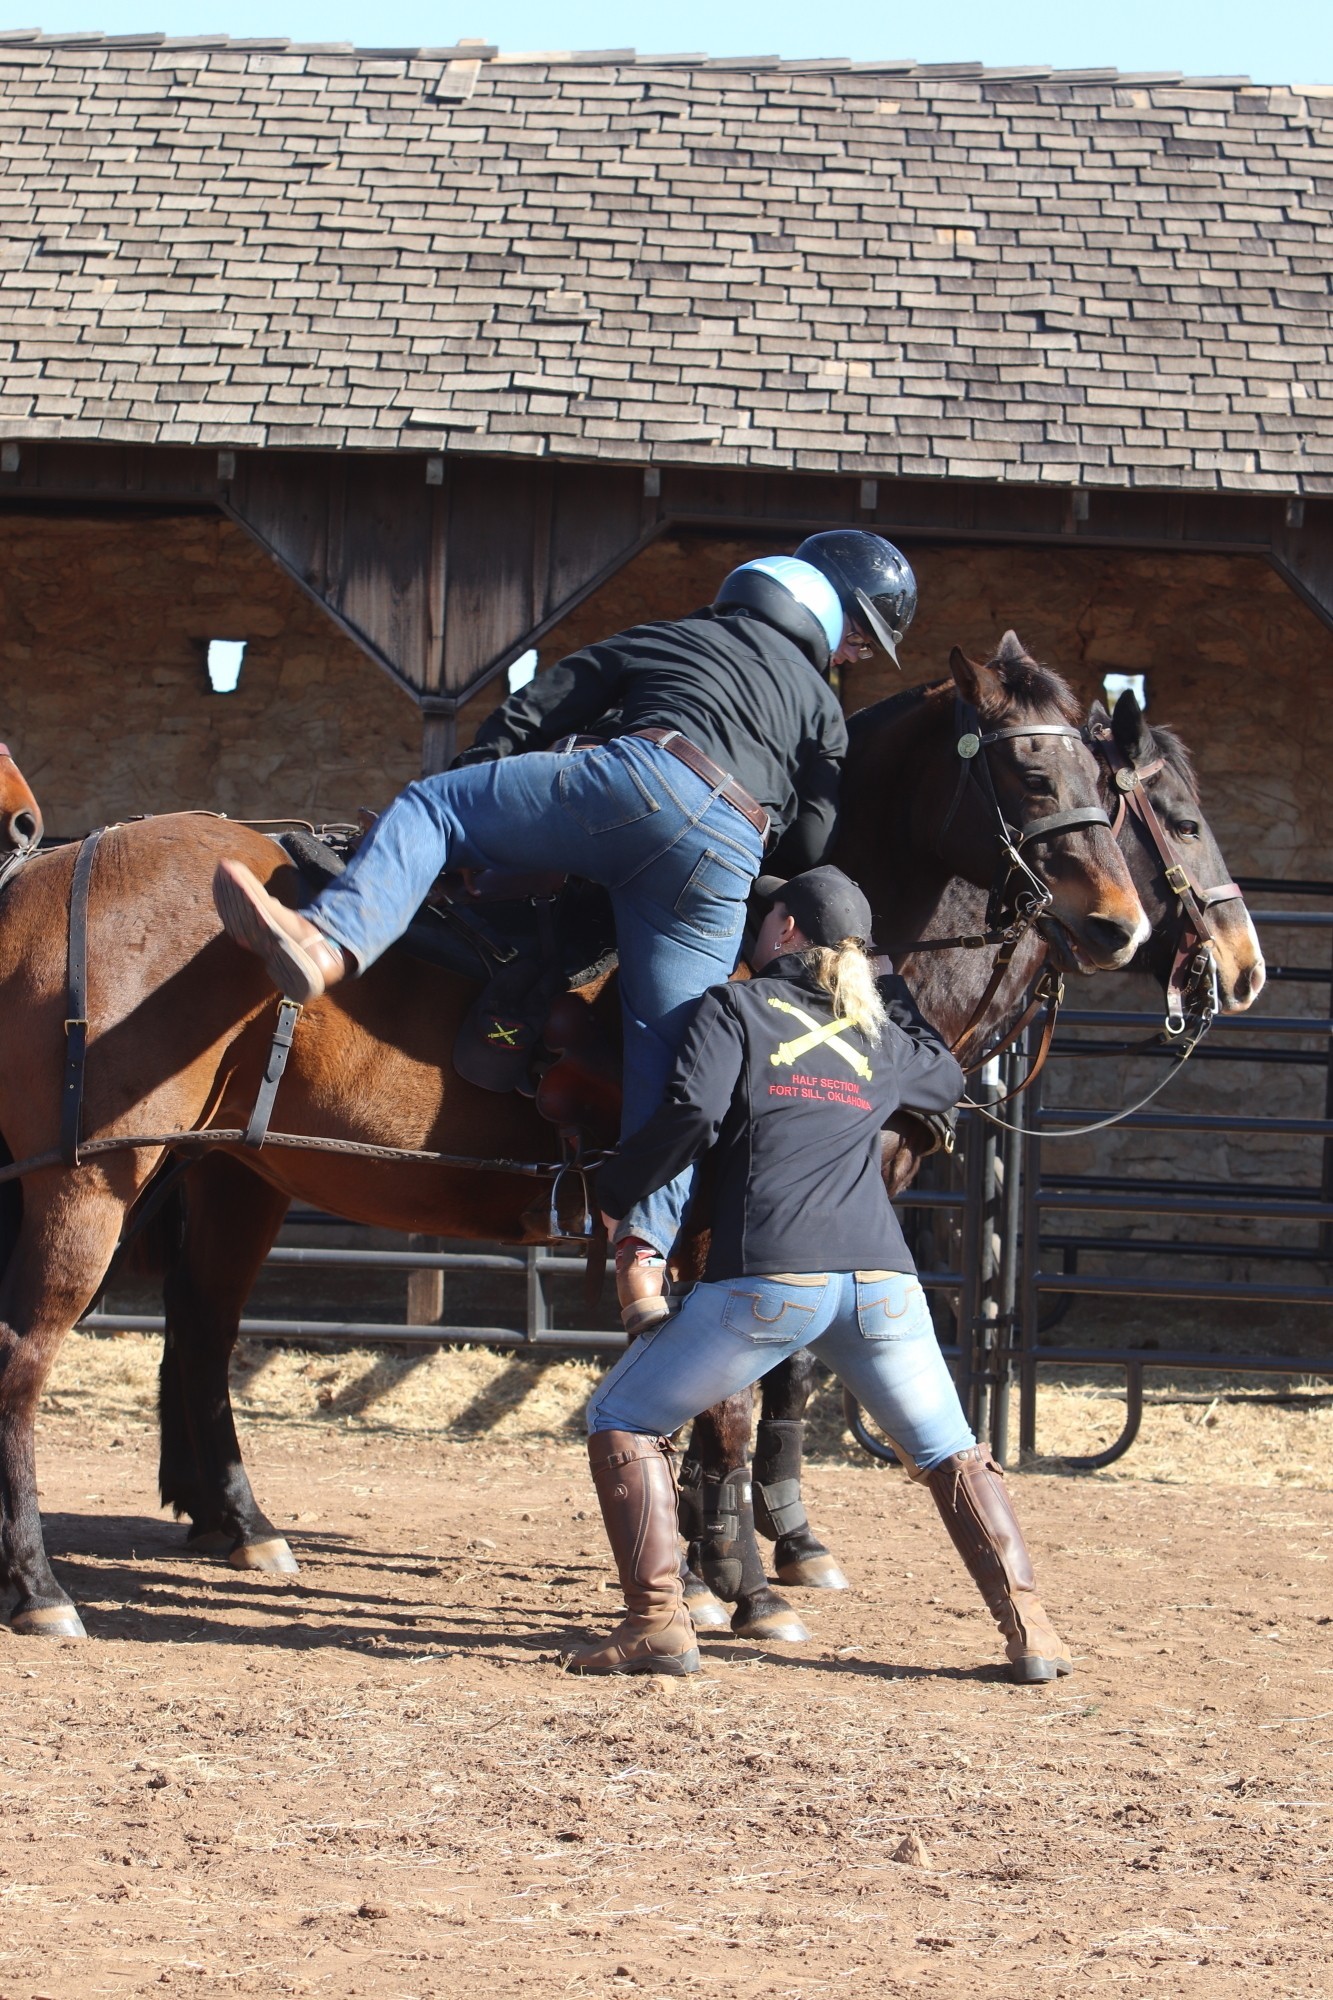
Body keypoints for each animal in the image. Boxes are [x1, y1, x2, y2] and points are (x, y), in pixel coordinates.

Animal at [0, 640, 1144, 1640]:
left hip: (232, 1176)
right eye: (1029, 771)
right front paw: (736, 1583)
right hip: (85, 1187)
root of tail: (50, 872)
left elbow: (713, 1405)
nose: (1119, 924)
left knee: (198, 1335)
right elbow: (726, 1409)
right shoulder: (721, 1232)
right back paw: (40, 1587)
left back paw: (239, 1524)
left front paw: (717, 1571)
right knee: (26, 1362)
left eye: (1107, 773)